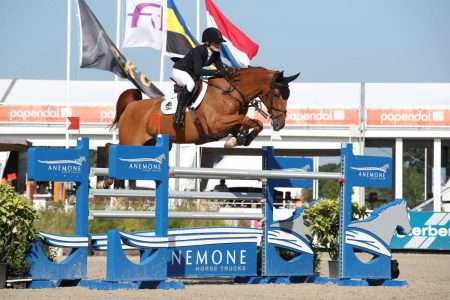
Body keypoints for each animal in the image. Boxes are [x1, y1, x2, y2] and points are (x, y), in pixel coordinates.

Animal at [111, 67, 298, 148]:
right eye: (276, 94)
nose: (280, 124)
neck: (231, 93)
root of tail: (131, 106)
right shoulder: (216, 125)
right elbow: (247, 119)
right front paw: (238, 140)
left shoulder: (230, 124)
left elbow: (251, 123)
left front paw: (241, 139)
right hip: (130, 142)